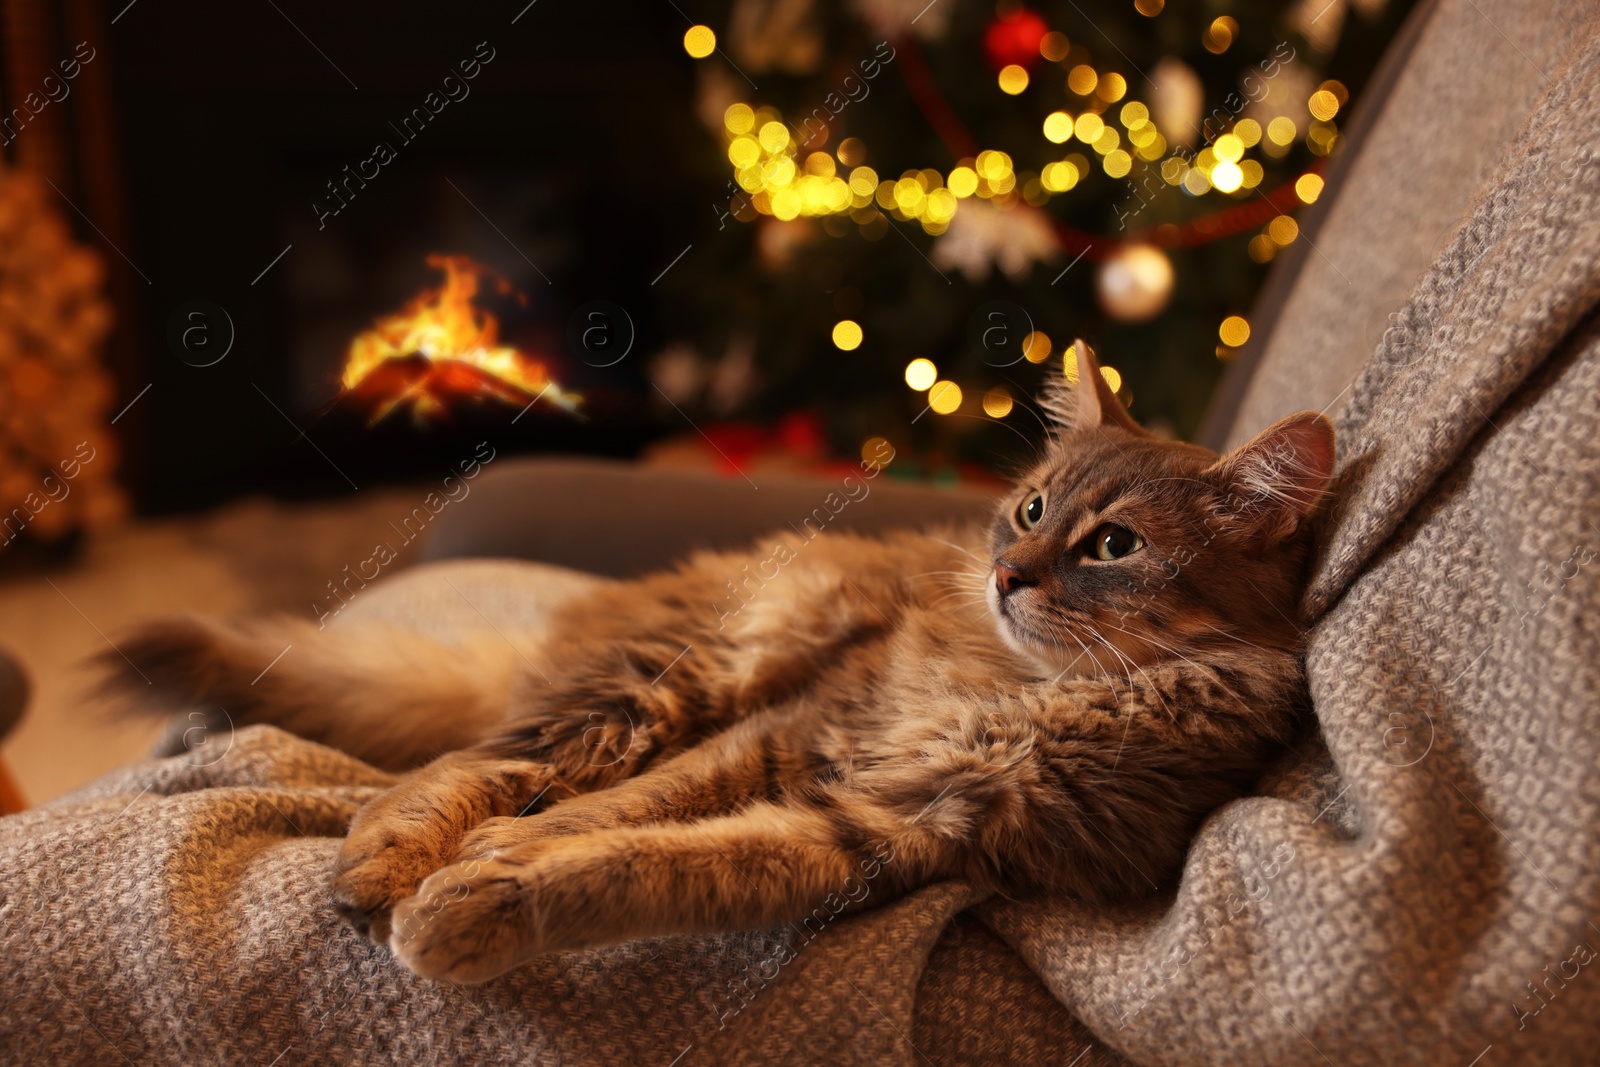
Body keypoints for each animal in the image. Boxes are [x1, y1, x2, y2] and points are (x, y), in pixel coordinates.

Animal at [112, 343, 1331, 985]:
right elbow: (623, 811)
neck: (1022, 688)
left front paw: (487, 894)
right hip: (682, 675)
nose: (1008, 574)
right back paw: (382, 861)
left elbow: (647, 863)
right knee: (470, 765)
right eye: (1032, 508)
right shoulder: (805, 724)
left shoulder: (891, 830)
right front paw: (482, 863)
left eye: (1114, 546)